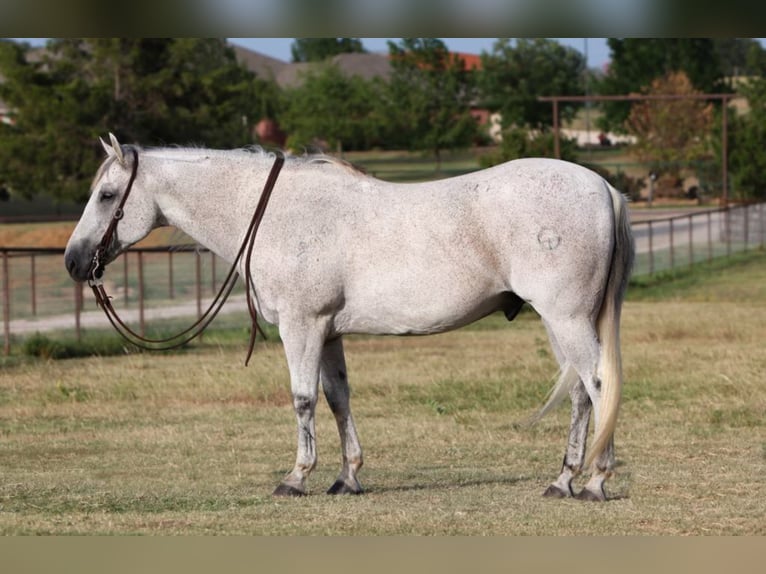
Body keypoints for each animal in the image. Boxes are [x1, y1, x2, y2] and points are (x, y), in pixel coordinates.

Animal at [64, 135, 636, 504]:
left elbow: (303, 399)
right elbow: (338, 398)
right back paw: (562, 481)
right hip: (559, 322)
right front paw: (347, 478)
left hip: (566, 318)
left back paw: (594, 483)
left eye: (107, 195)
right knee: (580, 392)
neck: (276, 213)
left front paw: (297, 477)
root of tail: (602, 188)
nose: (73, 261)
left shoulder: (300, 326)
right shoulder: (327, 331)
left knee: (599, 383)